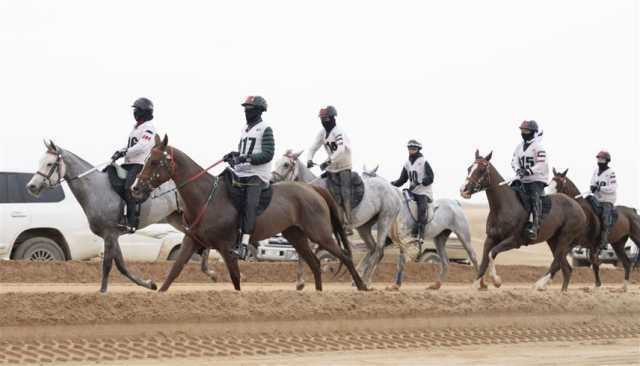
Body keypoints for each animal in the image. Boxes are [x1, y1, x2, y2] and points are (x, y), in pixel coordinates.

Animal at [25, 140, 218, 292]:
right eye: (41, 161)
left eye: (49, 164)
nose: (31, 187)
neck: (96, 190)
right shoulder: (112, 235)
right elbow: (121, 265)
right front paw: (149, 284)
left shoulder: (110, 234)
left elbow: (108, 264)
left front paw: (102, 292)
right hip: (176, 218)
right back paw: (210, 272)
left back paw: (210, 271)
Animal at [132, 134, 368, 292]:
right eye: (146, 160)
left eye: (154, 161)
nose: (135, 188)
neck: (207, 198)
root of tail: (313, 189)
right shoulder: (191, 241)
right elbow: (173, 272)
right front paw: (158, 292)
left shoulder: (227, 249)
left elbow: (236, 279)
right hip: (296, 235)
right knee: (316, 264)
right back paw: (318, 295)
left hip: (320, 234)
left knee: (344, 255)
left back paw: (362, 287)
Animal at [270, 149, 400, 288]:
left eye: (286, 164)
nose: (271, 181)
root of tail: (394, 191)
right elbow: (305, 252)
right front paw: (301, 281)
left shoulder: (320, 232)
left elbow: (310, 252)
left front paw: (302, 280)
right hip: (364, 227)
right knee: (372, 248)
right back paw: (360, 279)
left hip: (384, 220)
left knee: (379, 251)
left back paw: (365, 281)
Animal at [458, 149, 588, 292]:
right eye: (469, 168)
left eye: (481, 170)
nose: (463, 190)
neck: (504, 206)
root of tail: (579, 208)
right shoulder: (490, 239)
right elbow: (484, 261)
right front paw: (475, 286)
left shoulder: (514, 241)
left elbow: (492, 254)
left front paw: (497, 281)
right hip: (554, 240)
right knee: (566, 268)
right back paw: (562, 291)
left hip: (565, 238)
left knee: (557, 263)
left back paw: (539, 285)